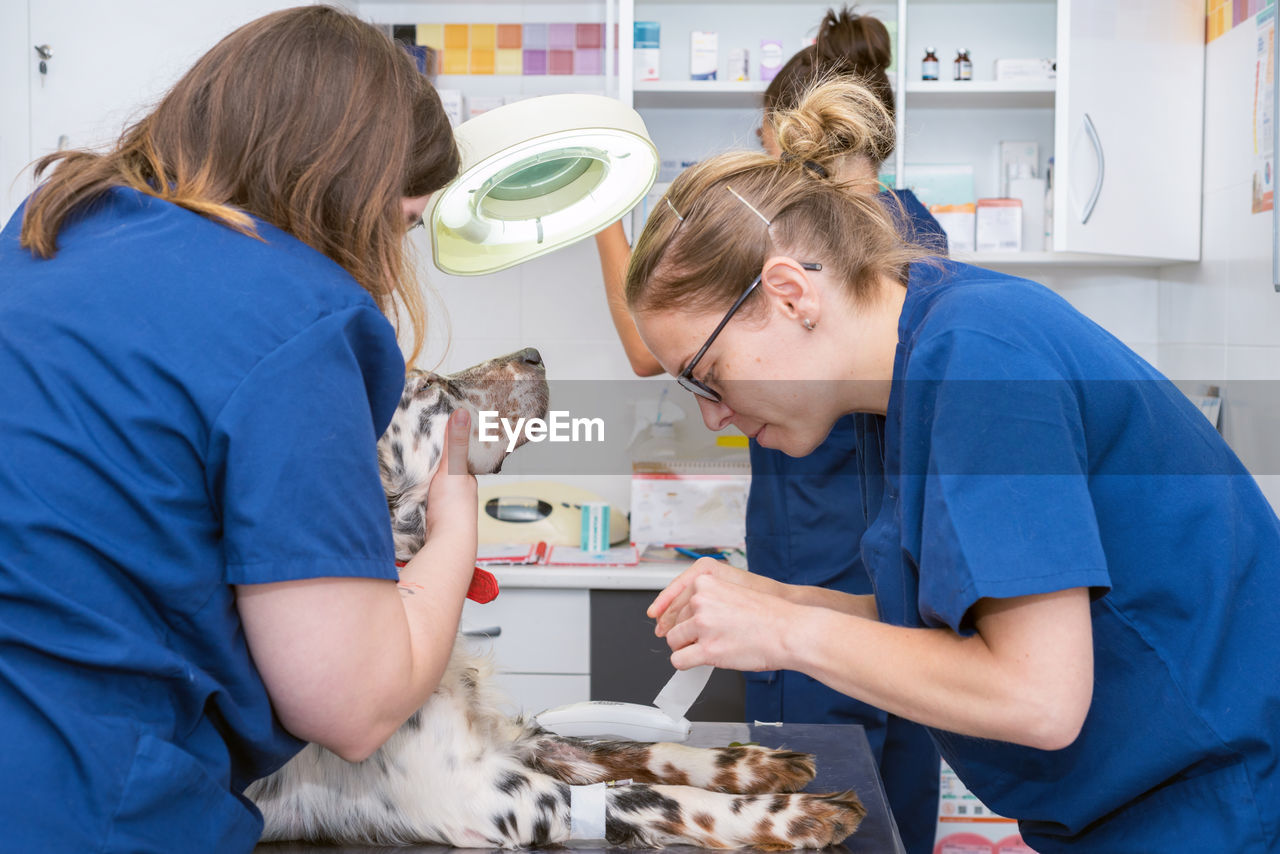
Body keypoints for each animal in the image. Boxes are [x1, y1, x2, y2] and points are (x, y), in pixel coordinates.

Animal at [244, 350, 865, 850]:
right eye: (429, 389)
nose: (534, 354)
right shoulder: (486, 794)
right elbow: (644, 795)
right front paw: (793, 815)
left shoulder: (515, 738)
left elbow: (628, 750)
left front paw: (753, 761)